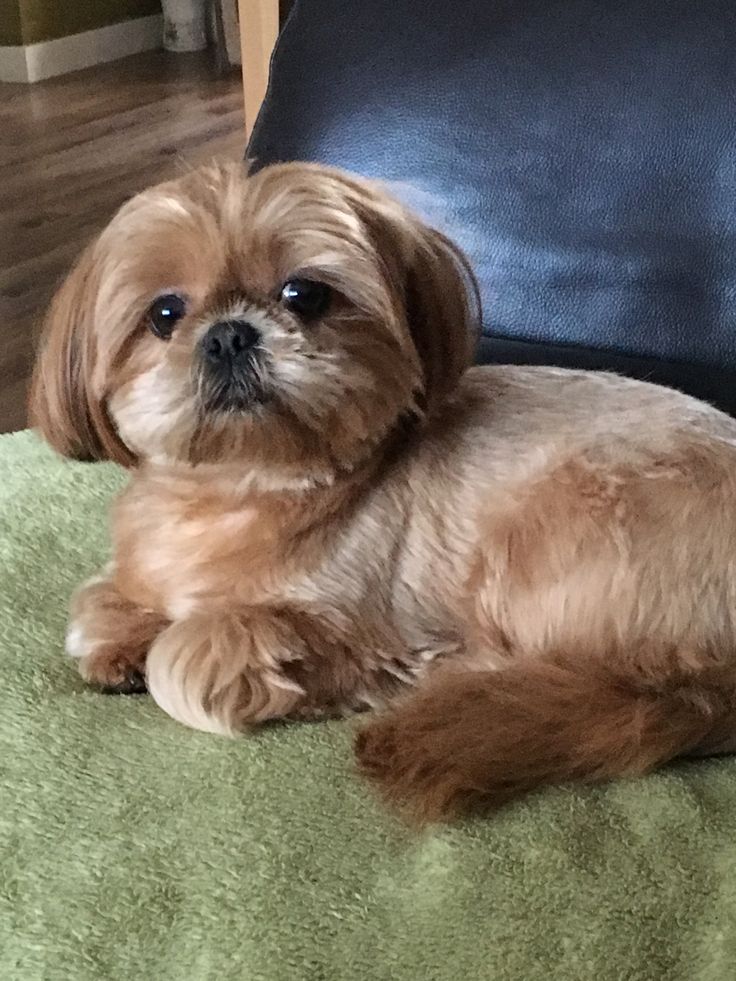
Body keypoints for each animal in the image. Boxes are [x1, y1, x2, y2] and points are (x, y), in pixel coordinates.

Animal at [31, 163, 736, 820]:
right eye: (164, 314)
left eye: (304, 294)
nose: (229, 333)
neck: (238, 491)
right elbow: (98, 601)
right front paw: (121, 641)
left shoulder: (346, 626)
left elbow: (186, 653)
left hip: (549, 531)